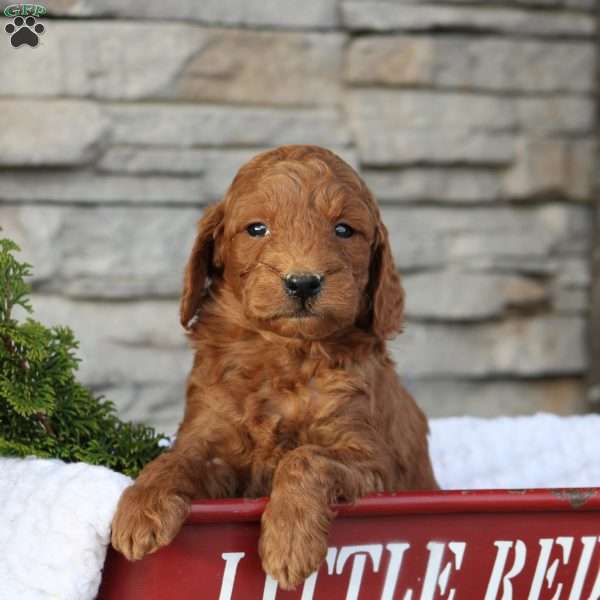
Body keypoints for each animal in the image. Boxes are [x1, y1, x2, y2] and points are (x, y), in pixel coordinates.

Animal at [111, 144, 436, 584]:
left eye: (344, 230)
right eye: (256, 229)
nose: (303, 282)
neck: (285, 354)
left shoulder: (373, 460)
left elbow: (305, 457)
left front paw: (289, 541)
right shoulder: (210, 437)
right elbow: (177, 458)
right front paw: (141, 505)